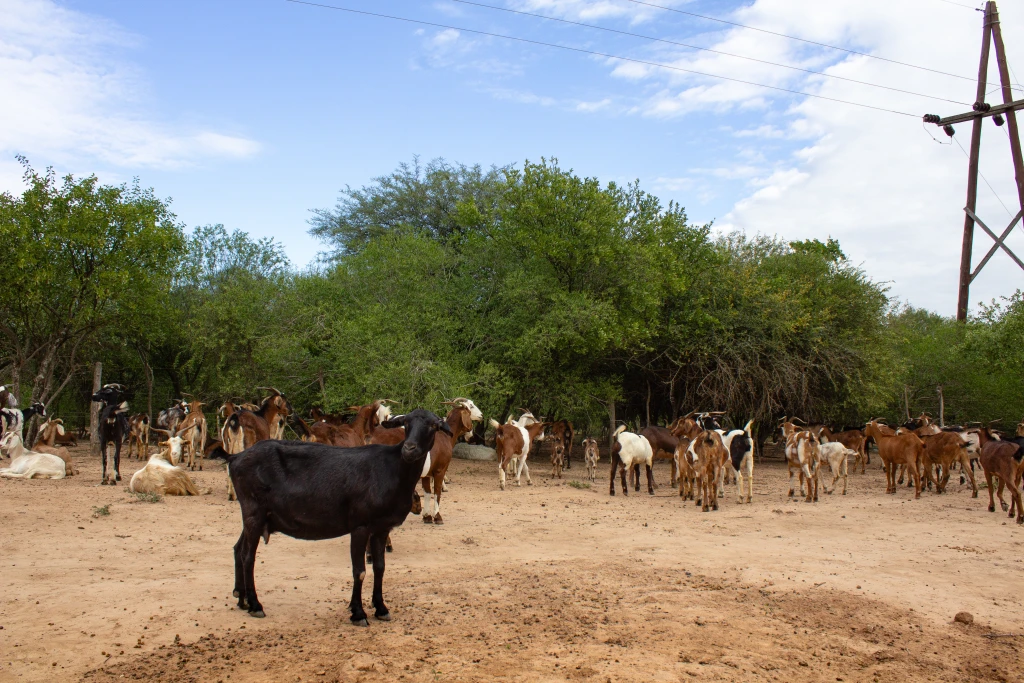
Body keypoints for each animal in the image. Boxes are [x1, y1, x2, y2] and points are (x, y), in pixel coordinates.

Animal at [216, 411, 452, 626]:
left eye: (433, 426)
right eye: (406, 423)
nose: (409, 449)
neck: (392, 469)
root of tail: (235, 458)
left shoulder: (381, 528)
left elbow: (380, 568)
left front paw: (381, 608)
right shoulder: (360, 526)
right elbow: (359, 571)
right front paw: (358, 613)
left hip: (254, 515)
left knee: (238, 549)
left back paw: (242, 599)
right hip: (253, 512)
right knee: (248, 556)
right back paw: (255, 605)